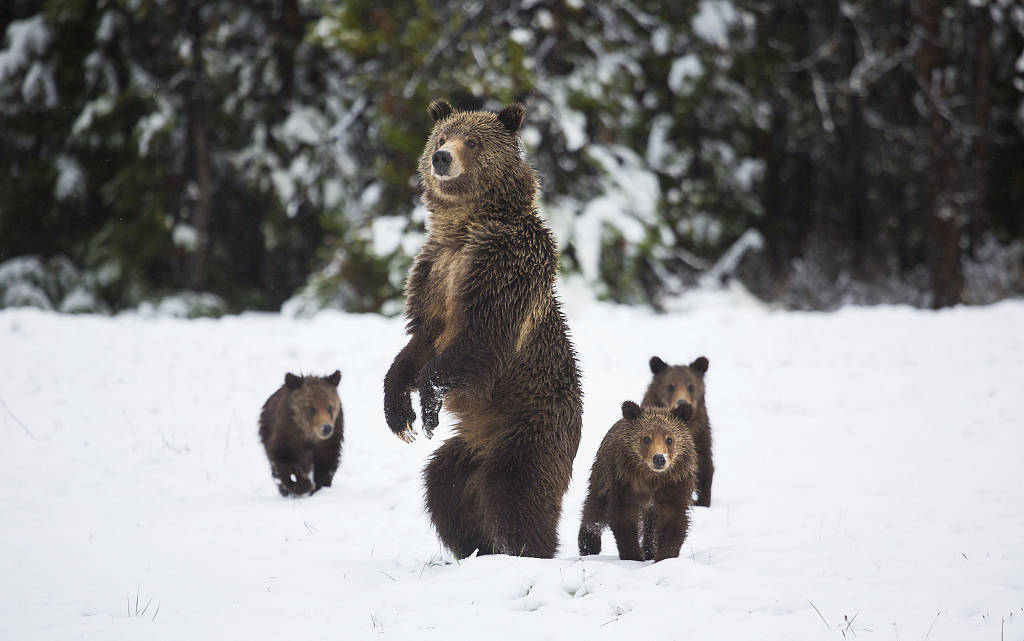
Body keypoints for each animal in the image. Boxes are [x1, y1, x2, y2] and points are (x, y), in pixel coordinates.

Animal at [382, 97, 581, 557]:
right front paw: (401, 416)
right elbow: (419, 342)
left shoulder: (502, 268)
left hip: (529, 429)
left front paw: (428, 406)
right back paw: (474, 548)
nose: (441, 158)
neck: (465, 227)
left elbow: (482, 339)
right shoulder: (434, 272)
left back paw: (527, 550)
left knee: (514, 492)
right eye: (442, 136)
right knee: (444, 487)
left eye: (472, 141)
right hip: (469, 446)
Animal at [577, 399, 696, 557]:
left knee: (650, 524)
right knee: (595, 507)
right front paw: (633, 555)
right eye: (646, 438)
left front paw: (664, 556)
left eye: (669, 439)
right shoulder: (625, 481)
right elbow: (624, 516)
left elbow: (673, 518)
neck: (651, 478)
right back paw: (588, 544)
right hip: (602, 474)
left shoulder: (674, 483)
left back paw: (650, 549)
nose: (659, 458)